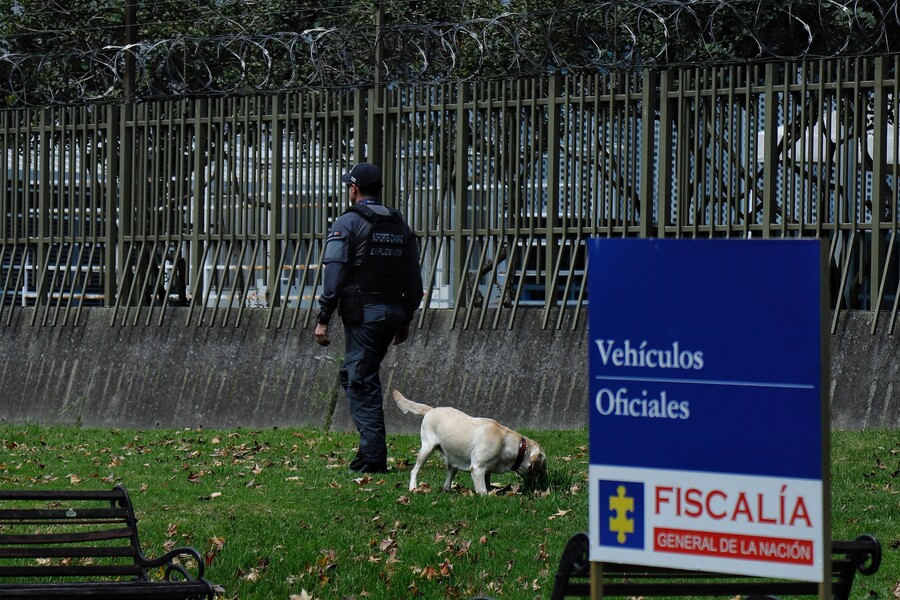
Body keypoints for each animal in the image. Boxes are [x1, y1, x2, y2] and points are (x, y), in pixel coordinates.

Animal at [392, 390, 547, 495]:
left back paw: (448, 490)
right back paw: (413, 487)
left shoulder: (486, 471)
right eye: (543, 464)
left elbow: (487, 484)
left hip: (453, 458)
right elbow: (483, 491)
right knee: (414, 470)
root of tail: (431, 409)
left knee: (448, 478)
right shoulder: (477, 469)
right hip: (427, 448)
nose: (541, 482)